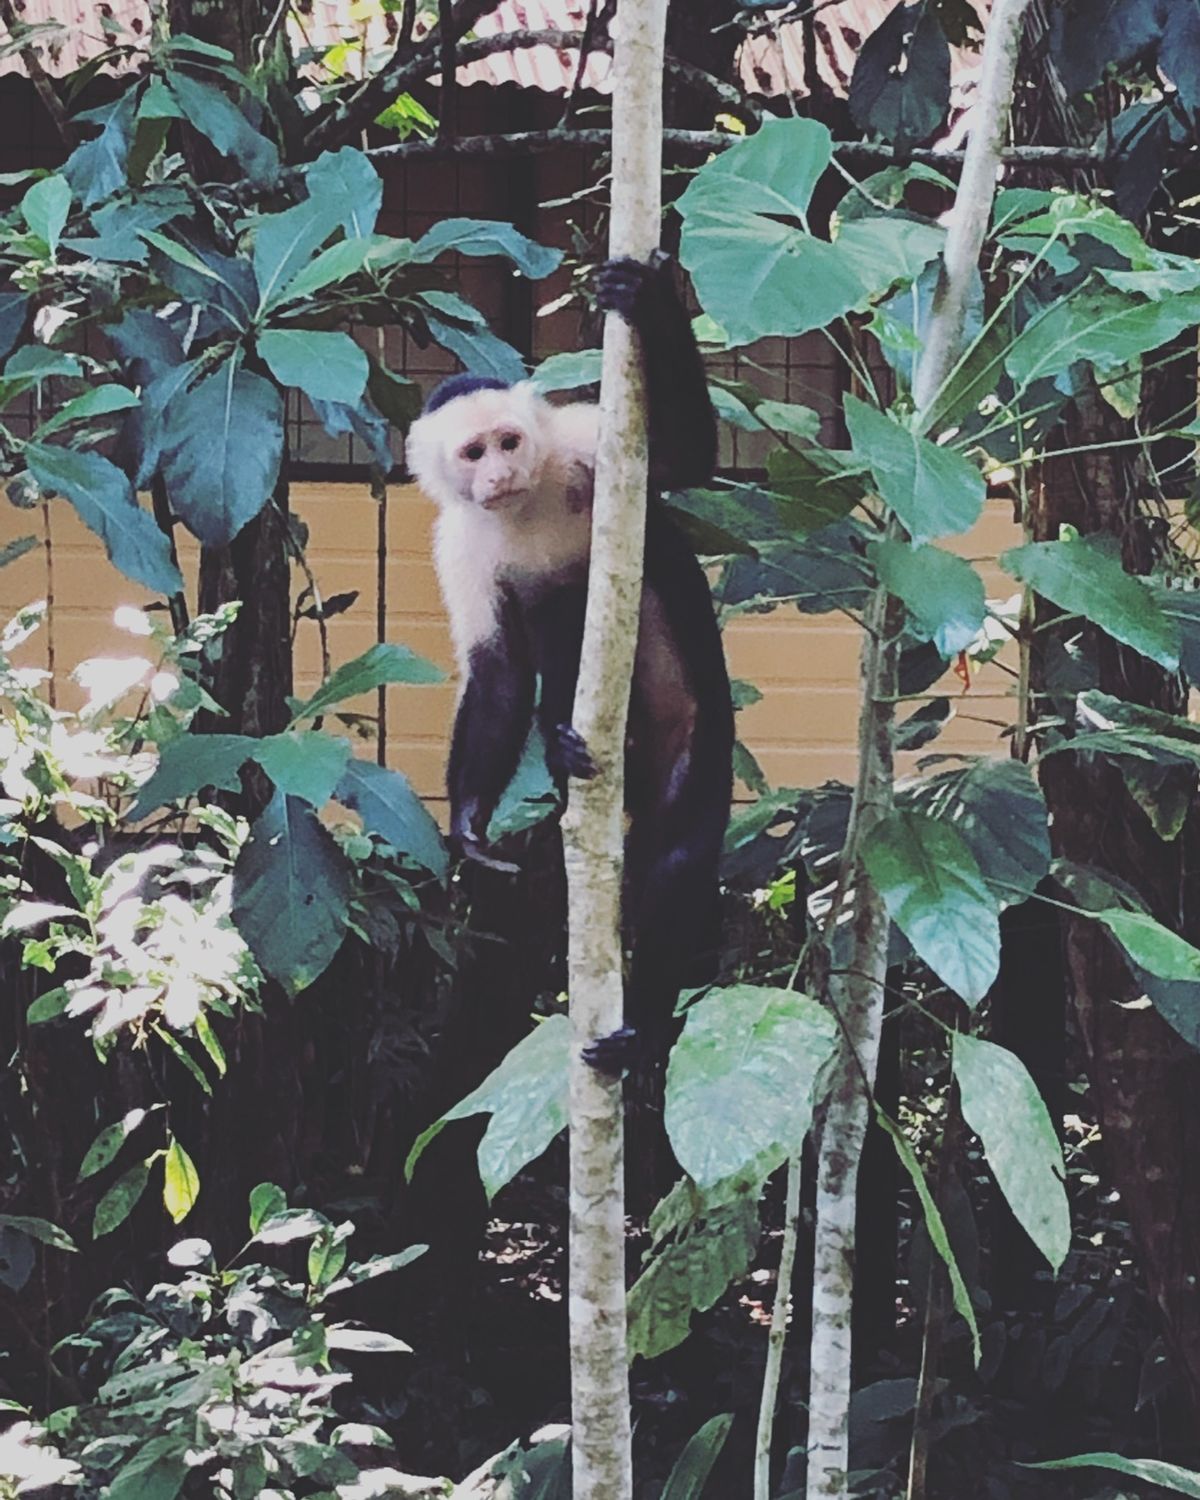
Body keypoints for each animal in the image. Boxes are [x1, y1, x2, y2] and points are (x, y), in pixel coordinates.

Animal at [406, 254, 733, 1075]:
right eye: (473, 454)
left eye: (509, 441)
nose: (498, 476)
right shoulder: (456, 543)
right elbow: (496, 671)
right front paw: (468, 823)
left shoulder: (584, 444)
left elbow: (686, 461)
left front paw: (645, 298)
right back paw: (562, 752)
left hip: (698, 744)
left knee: (672, 865)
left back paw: (641, 1030)